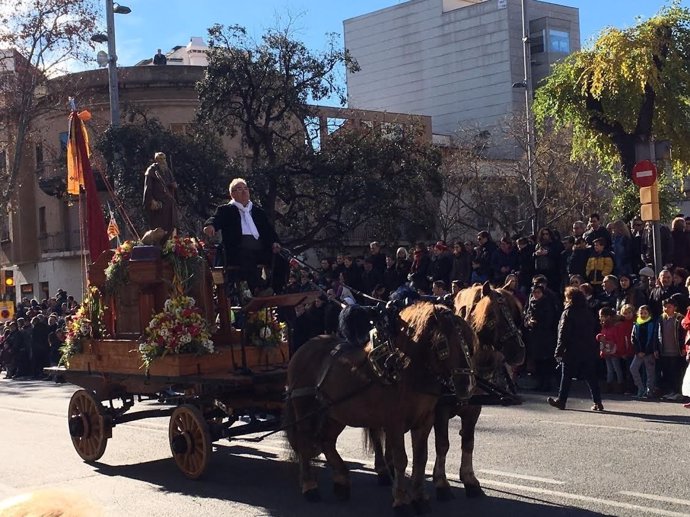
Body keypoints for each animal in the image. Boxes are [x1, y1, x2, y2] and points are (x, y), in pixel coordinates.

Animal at [282, 300, 476, 510]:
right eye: (443, 344)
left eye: (470, 342)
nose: (467, 385)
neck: (403, 369)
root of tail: (304, 348)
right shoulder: (394, 423)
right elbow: (401, 459)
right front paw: (401, 500)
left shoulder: (424, 421)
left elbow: (421, 458)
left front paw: (420, 498)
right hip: (304, 409)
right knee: (305, 442)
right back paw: (310, 487)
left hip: (335, 414)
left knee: (326, 441)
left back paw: (342, 482)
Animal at [432, 284, 524, 498]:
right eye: (491, 317)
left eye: (516, 313)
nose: (519, 352)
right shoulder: (440, 410)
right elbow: (443, 444)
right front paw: (441, 482)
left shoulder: (473, 410)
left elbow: (468, 441)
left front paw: (469, 479)